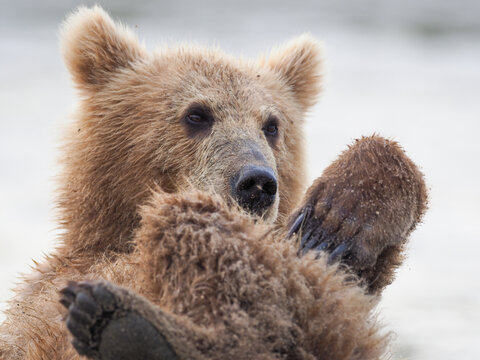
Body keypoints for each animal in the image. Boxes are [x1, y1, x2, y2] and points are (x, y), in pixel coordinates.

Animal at [0, 6, 428, 360]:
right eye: (197, 114)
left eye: (272, 125)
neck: (116, 236)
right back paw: (132, 328)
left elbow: (345, 270)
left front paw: (340, 215)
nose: (256, 183)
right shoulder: (37, 306)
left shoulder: (316, 282)